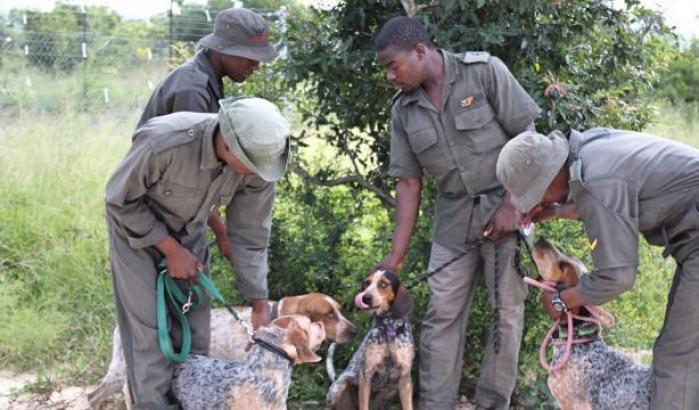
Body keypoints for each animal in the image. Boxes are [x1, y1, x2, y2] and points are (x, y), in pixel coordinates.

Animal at [88, 294, 358, 408]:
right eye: (328, 314)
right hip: (121, 373)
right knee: (93, 395)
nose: (355, 331)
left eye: (339, 309)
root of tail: (119, 326)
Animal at [326, 270, 412, 410]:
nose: (365, 298)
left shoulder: (405, 378)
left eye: (383, 284)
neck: (389, 329)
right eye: (367, 283)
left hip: (391, 390)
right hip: (338, 389)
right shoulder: (366, 374)